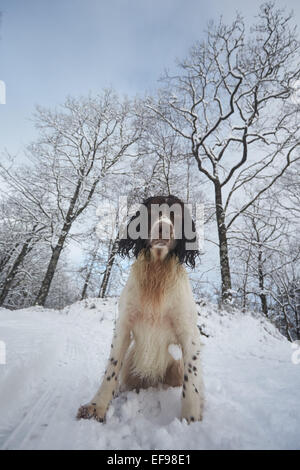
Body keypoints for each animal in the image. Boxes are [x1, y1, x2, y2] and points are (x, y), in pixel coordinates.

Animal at [77, 196, 204, 424]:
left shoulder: (188, 333)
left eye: (178, 215)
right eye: (152, 212)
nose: (163, 227)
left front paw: (190, 418)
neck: (157, 273)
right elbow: (111, 369)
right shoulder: (124, 325)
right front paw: (96, 407)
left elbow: (192, 379)